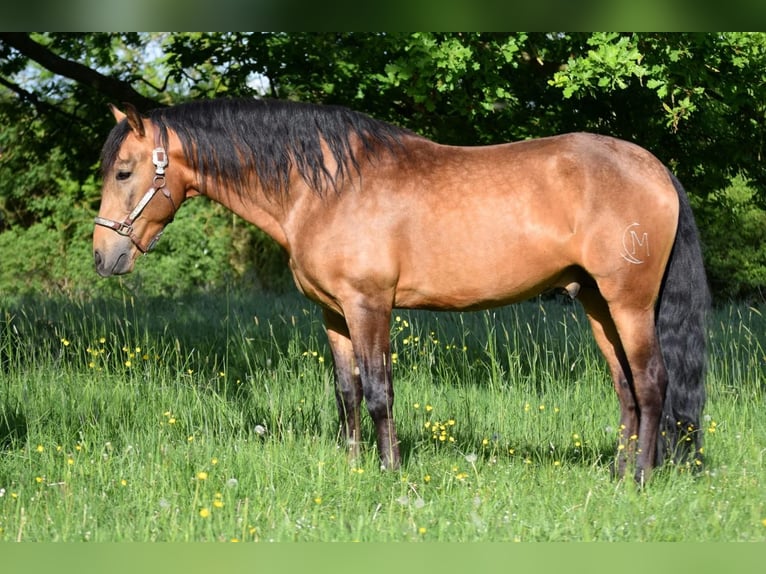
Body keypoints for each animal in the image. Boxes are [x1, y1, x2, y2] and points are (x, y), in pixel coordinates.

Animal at [93, 98, 709, 482]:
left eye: (123, 171)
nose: (104, 257)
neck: (325, 188)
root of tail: (655, 168)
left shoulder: (370, 306)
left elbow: (379, 392)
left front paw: (389, 474)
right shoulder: (334, 314)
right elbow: (346, 393)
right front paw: (352, 468)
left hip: (630, 304)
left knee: (652, 383)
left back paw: (640, 480)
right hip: (597, 304)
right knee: (626, 389)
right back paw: (617, 473)